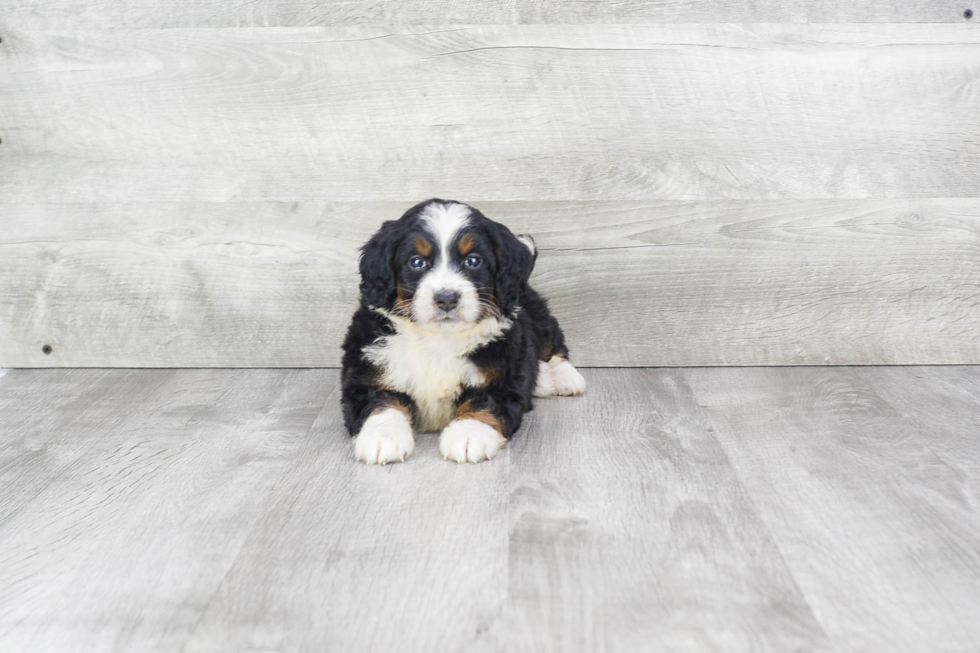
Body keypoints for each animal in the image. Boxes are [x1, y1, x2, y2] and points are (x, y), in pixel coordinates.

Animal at [340, 199, 584, 464]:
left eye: (473, 261)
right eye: (417, 262)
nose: (447, 298)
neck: (439, 339)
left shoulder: (503, 373)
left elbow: (484, 401)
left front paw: (469, 434)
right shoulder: (367, 371)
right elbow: (380, 400)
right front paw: (382, 436)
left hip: (535, 311)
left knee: (553, 343)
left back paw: (564, 378)